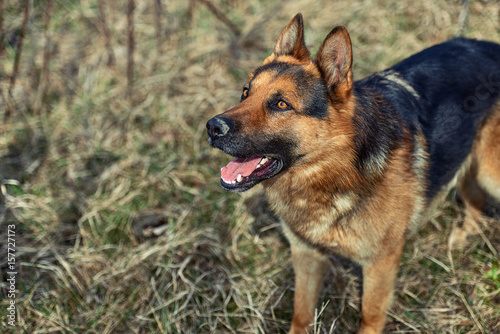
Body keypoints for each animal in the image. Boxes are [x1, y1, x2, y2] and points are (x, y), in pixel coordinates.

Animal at [205, 13, 498, 334]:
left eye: (281, 104)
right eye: (245, 93)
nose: (212, 127)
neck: (335, 169)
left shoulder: (380, 263)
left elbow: (370, 313)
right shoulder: (306, 255)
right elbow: (302, 311)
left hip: (490, 172)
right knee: (475, 199)